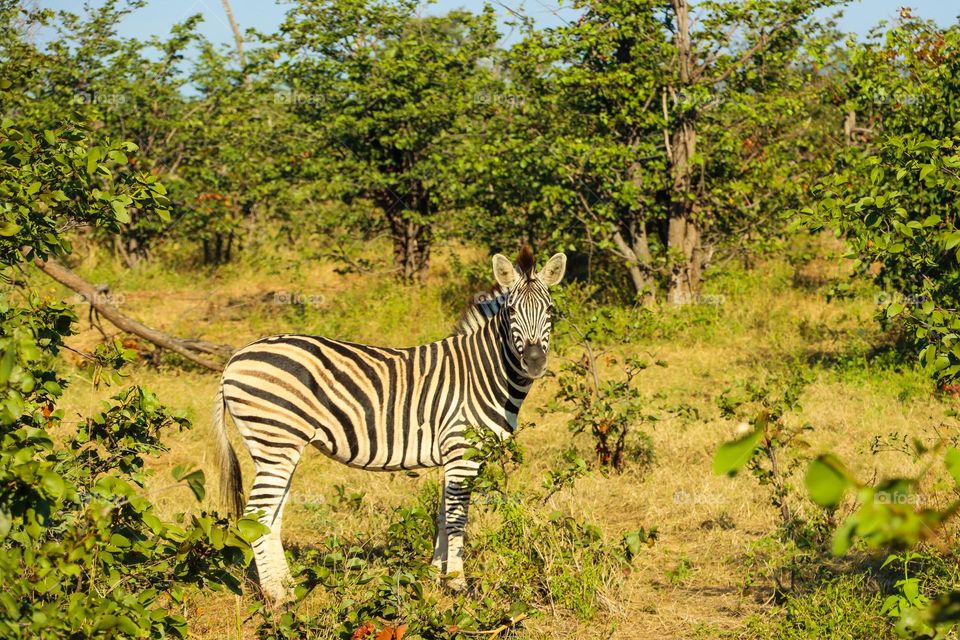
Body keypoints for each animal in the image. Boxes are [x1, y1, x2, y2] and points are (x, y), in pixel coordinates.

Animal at [213, 247, 566, 603]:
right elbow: (456, 519)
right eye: (511, 310)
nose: (534, 362)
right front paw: (457, 583)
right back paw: (278, 597)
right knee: (257, 515)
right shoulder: (462, 451)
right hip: (275, 439)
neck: (481, 371)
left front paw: (434, 576)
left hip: (281, 448)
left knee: (271, 516)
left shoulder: (451, 456)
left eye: (550, 310)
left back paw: (287, 587)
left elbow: (441, 516)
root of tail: (234, 359)